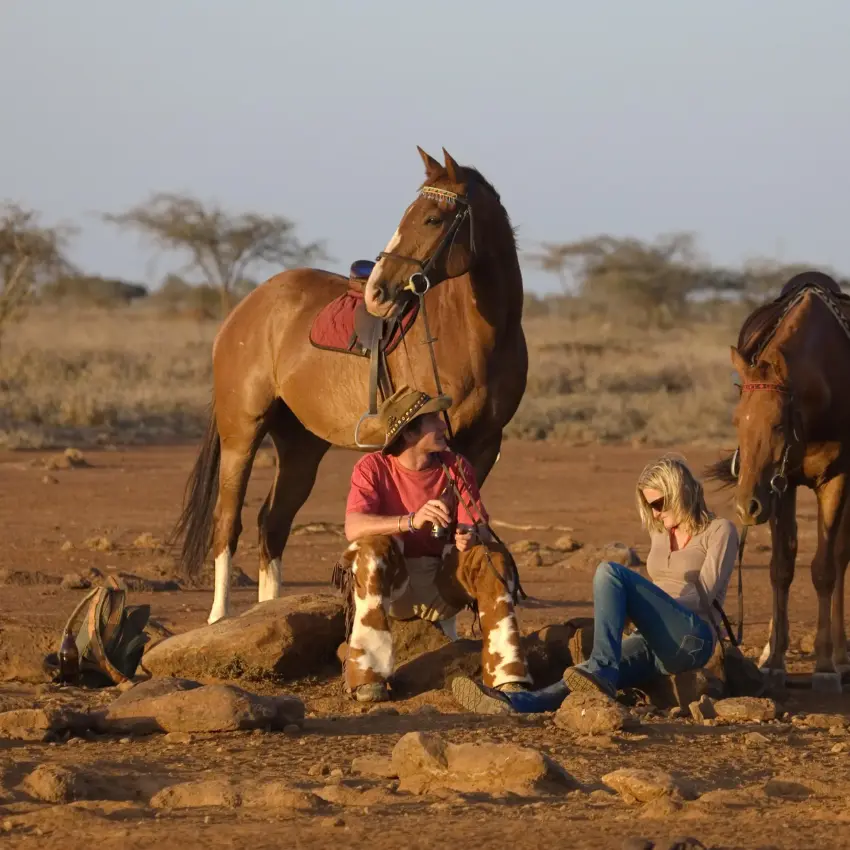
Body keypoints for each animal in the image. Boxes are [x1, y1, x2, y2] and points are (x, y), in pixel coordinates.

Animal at [172, 147, 528, 625]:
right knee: (228, 522)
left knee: (273, 522)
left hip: (300, 445)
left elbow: (459, 529)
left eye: (433, 218)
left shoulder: (485, 444)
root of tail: (245, 309)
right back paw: (219, 618)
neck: (475, 334)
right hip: (241, 433)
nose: (378, 291)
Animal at [706, 271, 850, 691]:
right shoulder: (780, 485)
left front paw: (824, 666)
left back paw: (841, 656)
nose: (746, 507)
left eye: (777, 424)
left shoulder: (836, 479)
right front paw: (773, 661)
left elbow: (824, 569)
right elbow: (781, 567)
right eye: (737, 420)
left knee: (841, 556)